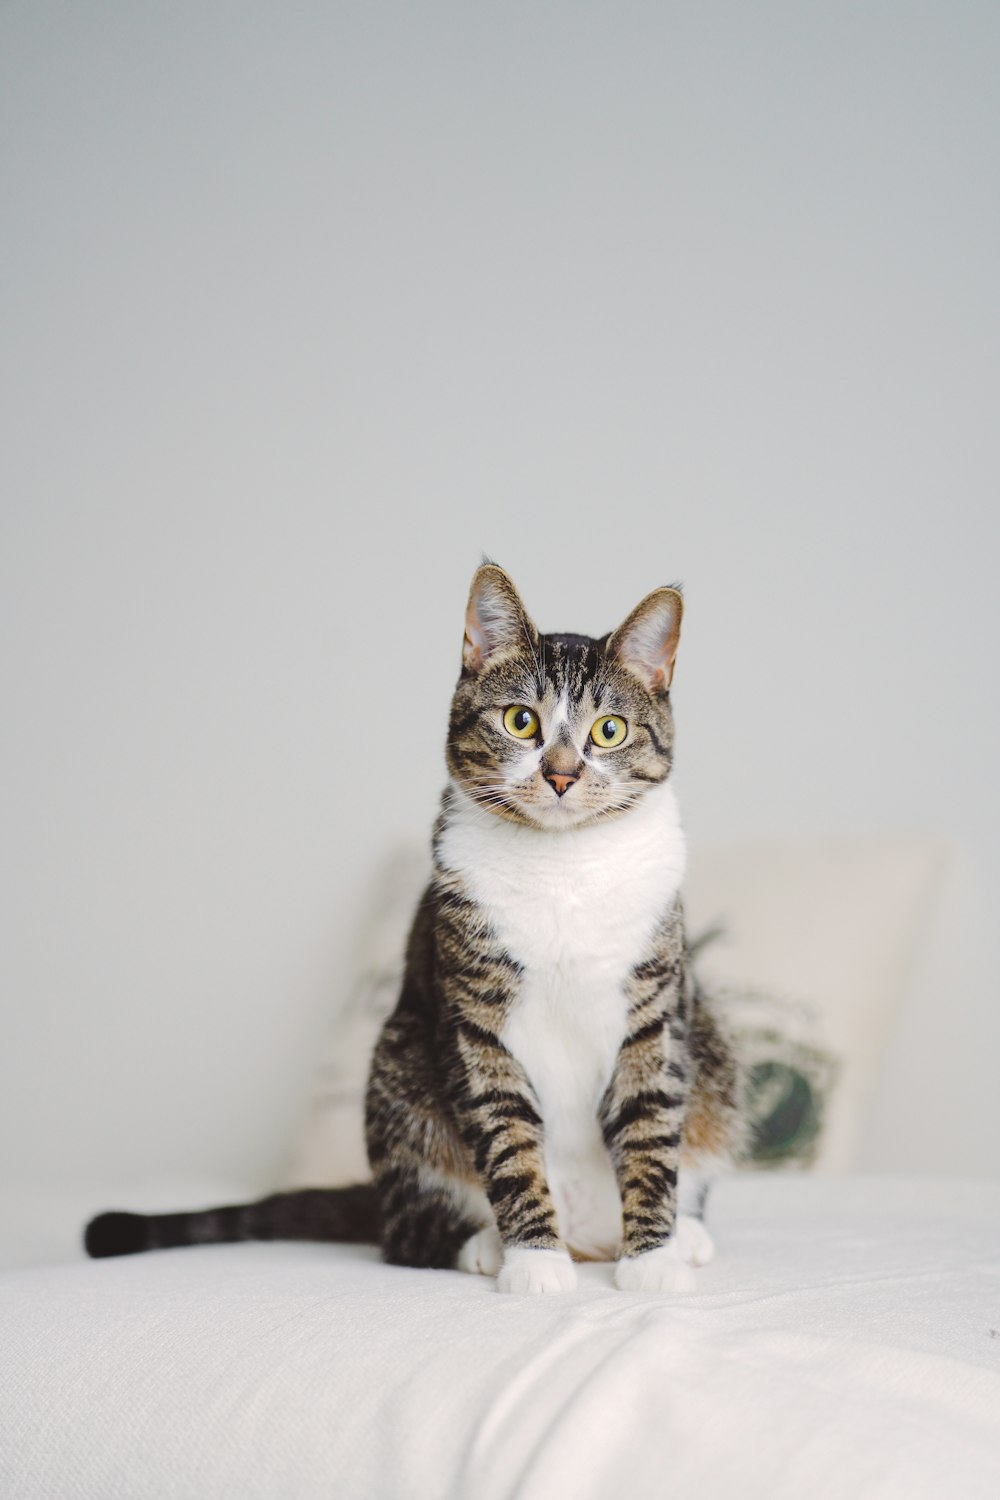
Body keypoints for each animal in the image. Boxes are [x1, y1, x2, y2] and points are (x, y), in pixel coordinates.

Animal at [86, 567, 743, 1296]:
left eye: (609, 730)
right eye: (521, 721)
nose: (562, 774)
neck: (561, 864)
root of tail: (589, 1235)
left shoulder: (656, 1013)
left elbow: (651, 1131)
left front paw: (652, 1259)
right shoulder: (476, 1020)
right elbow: (508, 1140)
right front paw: (534, 1262)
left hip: (713, 1053)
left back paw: (686, 1234)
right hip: (397, 1069)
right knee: (404, 1234)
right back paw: (486, 1245)